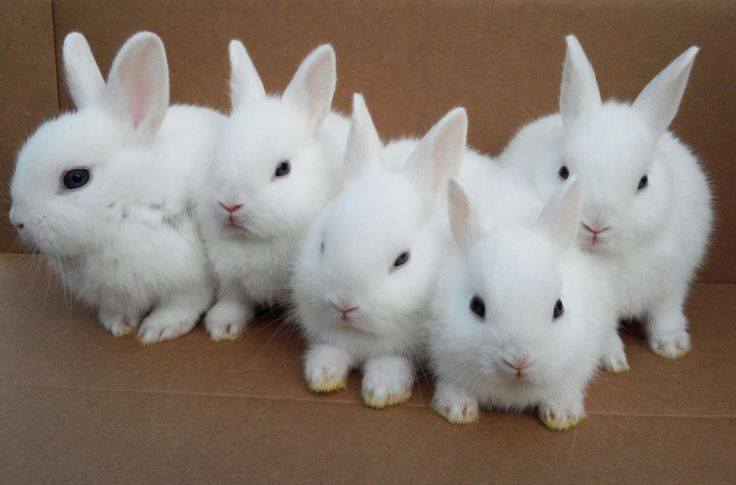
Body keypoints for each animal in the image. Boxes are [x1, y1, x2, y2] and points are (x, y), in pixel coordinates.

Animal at [8, 32, 223, 343]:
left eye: (76, 178)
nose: (18, 221)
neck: (128, 203)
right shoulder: (119, 292)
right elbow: (121, 308)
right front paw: (118, 325)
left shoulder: (190, 280)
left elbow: (183, 305)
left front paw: (158, 330)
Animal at [197, 40, 350, 341]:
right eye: (214, 156)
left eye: (282, 169)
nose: (230, 204)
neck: (254, 241)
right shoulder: (231, 278)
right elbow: (234, 299)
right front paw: (222, 326)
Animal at [291, 94, 468, 408]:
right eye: (322, 244)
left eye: (402, 260)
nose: (344, 303)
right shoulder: (330, 337)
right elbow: (330, 350)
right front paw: (322, 376)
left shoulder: (399, 349)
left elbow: (389, 362)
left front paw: (384, 391)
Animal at [428, 177, 621, 430]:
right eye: (476, 306)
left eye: (559, 308)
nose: (519, 361)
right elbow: (452, 384)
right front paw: (456, 410)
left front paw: (562, 416)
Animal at [499, 35, 713, 359]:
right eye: (563, 172)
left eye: (643, 181)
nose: (595, 225)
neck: (607, 257)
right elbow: (603, 332)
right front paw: (613, 357)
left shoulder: (673, 282)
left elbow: (666, 311)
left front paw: (672, 346)